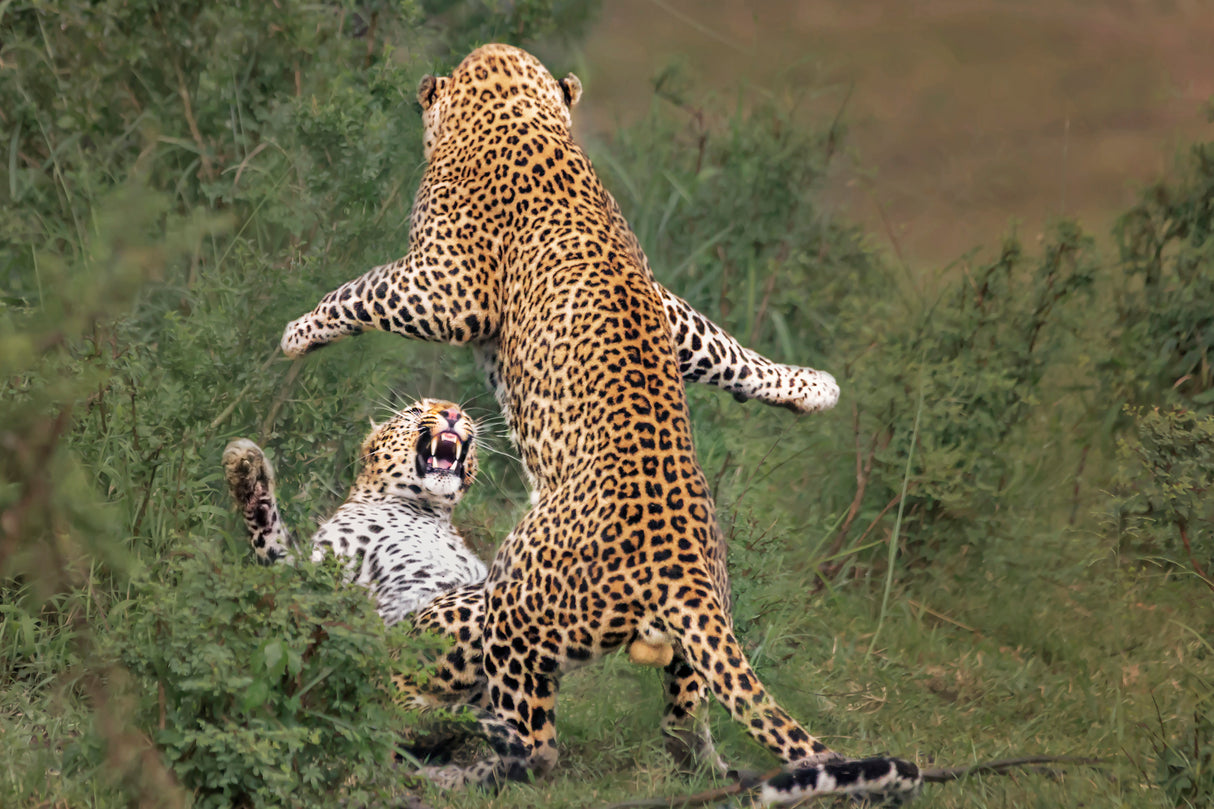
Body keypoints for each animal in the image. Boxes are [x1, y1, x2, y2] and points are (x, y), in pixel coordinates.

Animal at [280, 43, 921, 804]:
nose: (817, 389)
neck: (518, 113)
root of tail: (679, 568)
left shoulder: (447, 288)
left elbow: (363, 289)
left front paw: (298, 333)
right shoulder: (666, 306)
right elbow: (719, 346)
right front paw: (811, 388)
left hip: (512, 607)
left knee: (533, 742)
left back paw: (429, 750)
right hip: (697, 627)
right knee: (683, 708)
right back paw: (701, 766)